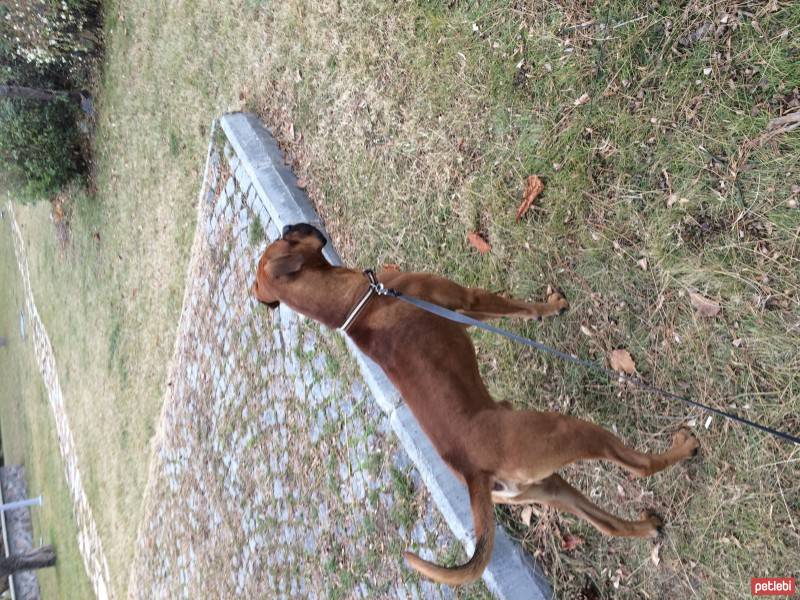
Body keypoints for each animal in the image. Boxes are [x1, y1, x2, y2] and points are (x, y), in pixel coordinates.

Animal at [253, 224, 696, 584]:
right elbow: (517, 308)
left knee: (607, 525)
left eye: (282, 235)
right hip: (569, 432)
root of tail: (473, 473)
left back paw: (645, 528)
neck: (354, 305)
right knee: (639, 467)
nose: (293, 225)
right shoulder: (467, 299)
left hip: (548, 487)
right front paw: (550, 307)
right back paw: (683, 447)